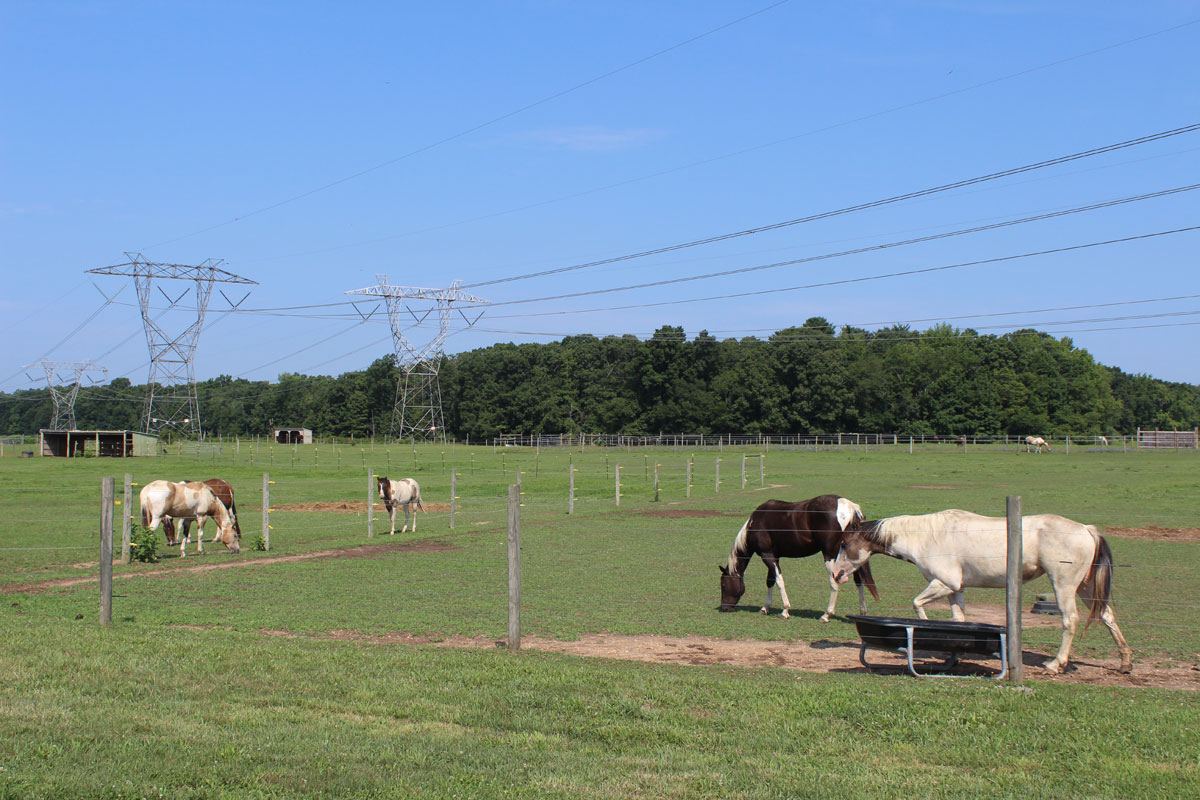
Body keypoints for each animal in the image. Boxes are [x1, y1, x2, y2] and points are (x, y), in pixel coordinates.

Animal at [719, 495, 879, 621]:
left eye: (723, 584)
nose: (724, 608)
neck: (756, 523)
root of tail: (850, 507)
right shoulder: (773, 557)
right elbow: (770, 581)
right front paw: (765, 608)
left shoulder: (767, 556)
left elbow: (779, 581)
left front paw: (785, 610)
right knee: (859, 581)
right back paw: (862, 612)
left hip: (831, 557)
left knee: (834, 583)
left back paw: (826, 615)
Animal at [830, 509, 1133, 674]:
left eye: (844, 543)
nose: (835, 574)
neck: (924, 536)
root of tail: (1087, 530)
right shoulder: (956, 590)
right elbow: (958, 622)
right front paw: (953, 654)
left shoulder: (944, 583)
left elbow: (917, 604)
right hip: (1086, 588)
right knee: (1107, 616)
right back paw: (1125, 663)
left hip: (1064, 586)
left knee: (1070, 621)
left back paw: (1055, 664)